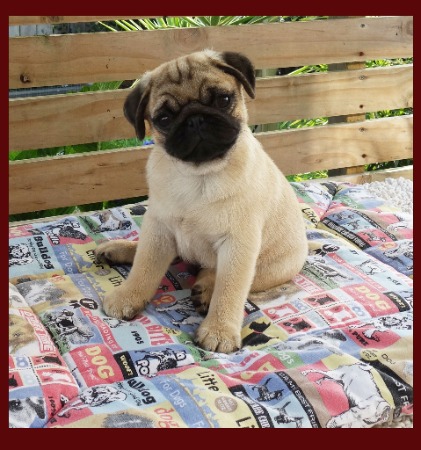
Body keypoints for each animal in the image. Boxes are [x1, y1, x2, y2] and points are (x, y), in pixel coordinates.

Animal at [94, 50, 308, 353]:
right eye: (164, 118)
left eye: (224, 100)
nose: (195, 119)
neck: (199, 175)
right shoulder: (158, 227)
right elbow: (144, 268)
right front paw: (128, 296)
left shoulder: (238, 243)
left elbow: (230, 289)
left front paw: (219, 330)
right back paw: (121, 248)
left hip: (271, 268)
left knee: (222, 275)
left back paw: (206, 289)